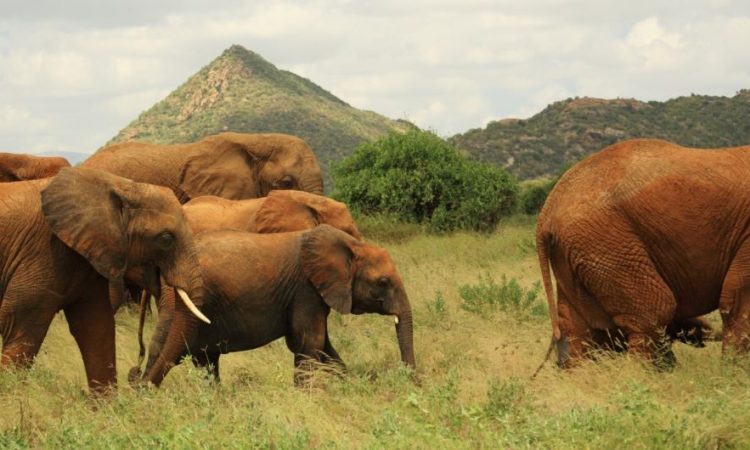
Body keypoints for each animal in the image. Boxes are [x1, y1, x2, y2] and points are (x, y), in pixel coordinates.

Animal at [0, 167, 209, 392]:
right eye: (166, 239)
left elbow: (96, 327)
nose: (136, 374)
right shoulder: (42, 251)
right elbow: (21, 328)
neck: (120, 185)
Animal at [134, 225, 418, 386]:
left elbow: (323, 346)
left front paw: (349, 384)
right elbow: (309, 342)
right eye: (383, 282)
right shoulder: (306, 290)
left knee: (198, 359)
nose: (413, 381)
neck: (351, 245)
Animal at [536, 139, 750, 368]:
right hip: (607, 243)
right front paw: (734, 370)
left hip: (576, 251)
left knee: (577, 326)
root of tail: (548, 210)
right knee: (654, 312)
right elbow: (738, 298)